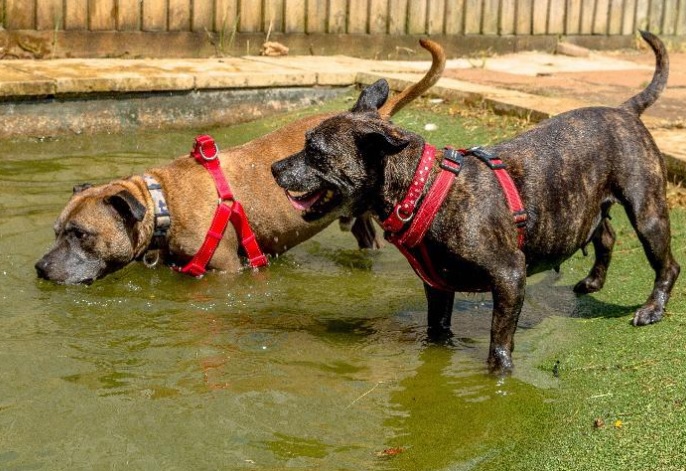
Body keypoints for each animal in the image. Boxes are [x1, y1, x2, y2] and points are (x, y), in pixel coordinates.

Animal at [35, 39, 446, 285]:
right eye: (56, 231)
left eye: (81, 234)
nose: (40, 267)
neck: (161, 202)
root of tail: (376, 118)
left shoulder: (224, 271)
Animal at [271, 31, 680, 374]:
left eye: (314, 151)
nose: (275, 167)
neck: (423, 188)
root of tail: (624, 110)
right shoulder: (438, 288)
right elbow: (437, 329)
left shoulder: (509, 276)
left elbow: (499, 337)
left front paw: (499, 373)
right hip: (585, 206)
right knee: (605, 233)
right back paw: (593, 281)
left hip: (647, 214)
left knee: (668, 265)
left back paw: (652, 309)